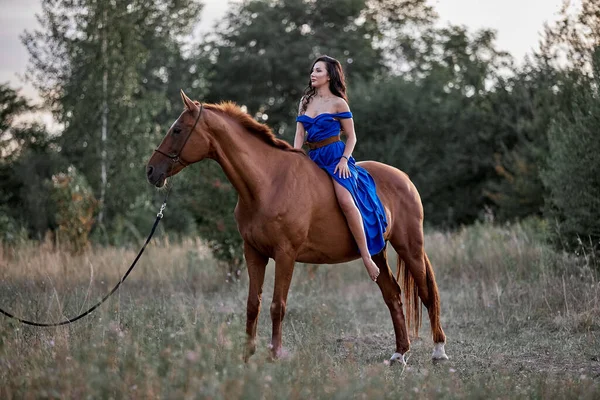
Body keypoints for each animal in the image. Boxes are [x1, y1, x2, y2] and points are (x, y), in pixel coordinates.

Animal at [145, 91, 448, 366]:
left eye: (177, 130)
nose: (150, 170)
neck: (268, 183)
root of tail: (404, 178)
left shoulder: (285, 255)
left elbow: (277, 306)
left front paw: (274, 354)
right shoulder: (253, 253)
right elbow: (253, 305)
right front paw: (247, 355)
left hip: (410, 248)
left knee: (426, 294)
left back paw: (439, 352)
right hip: (376, 253)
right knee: (393, 296)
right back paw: (399, 353)